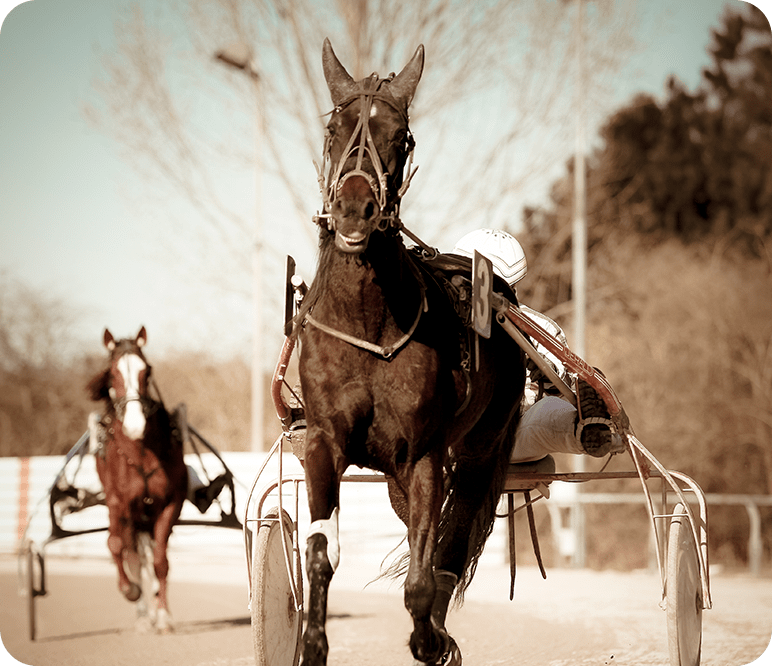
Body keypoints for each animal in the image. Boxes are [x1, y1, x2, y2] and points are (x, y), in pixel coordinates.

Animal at [86, 326, 187, 633]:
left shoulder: (170, 503)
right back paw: (142, 612)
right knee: (127, 551)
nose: (134, 424)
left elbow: (160, 561)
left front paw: (163, 615)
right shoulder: (120, 503)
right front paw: (132, 591)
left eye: (146, 371)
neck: (141, 452)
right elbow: (118, 547)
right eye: (112, 373)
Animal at [295, 40, 526, 665]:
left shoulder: (424, 455)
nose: (354, 209)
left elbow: (422, 578)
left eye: (400, 137)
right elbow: (321, 552)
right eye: (334, 128)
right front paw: (312, 643)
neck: (368, 322)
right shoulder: (324, 442)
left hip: (480, 446)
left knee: (453, 532)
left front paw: (429, 639)